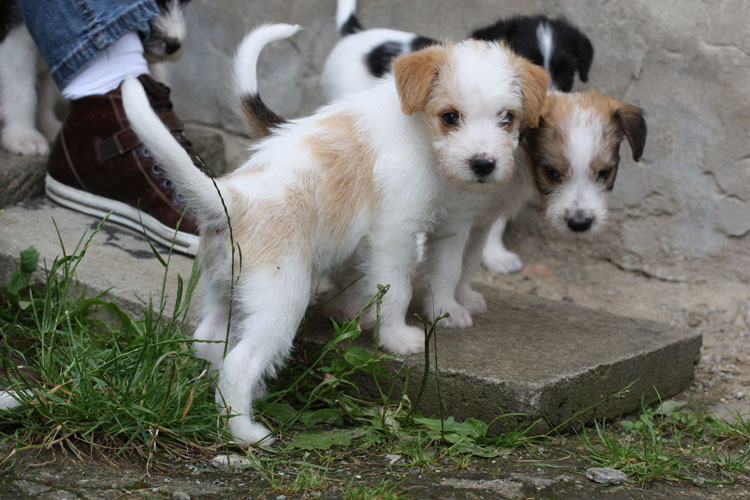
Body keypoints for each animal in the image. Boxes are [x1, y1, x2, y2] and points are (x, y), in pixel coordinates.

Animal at [0, 0, 190, 156]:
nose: (174, 45)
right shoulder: (16, 39)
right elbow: (23, 93)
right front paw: (23, 136)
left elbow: (44, 96)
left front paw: (49, 127)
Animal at [122, 23, 548, 444]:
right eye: (450, 116)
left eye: (507, 118)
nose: (483, 164)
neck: (417, 132)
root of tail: (231, 198)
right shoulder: (394, 233)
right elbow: (397, 290)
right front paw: (398, 338)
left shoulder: (448, 226)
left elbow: (443, 271)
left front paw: (441, 311)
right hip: (280, 300)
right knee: (239, 364)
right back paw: (247, 433)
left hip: (224, 290)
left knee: (210, 342)